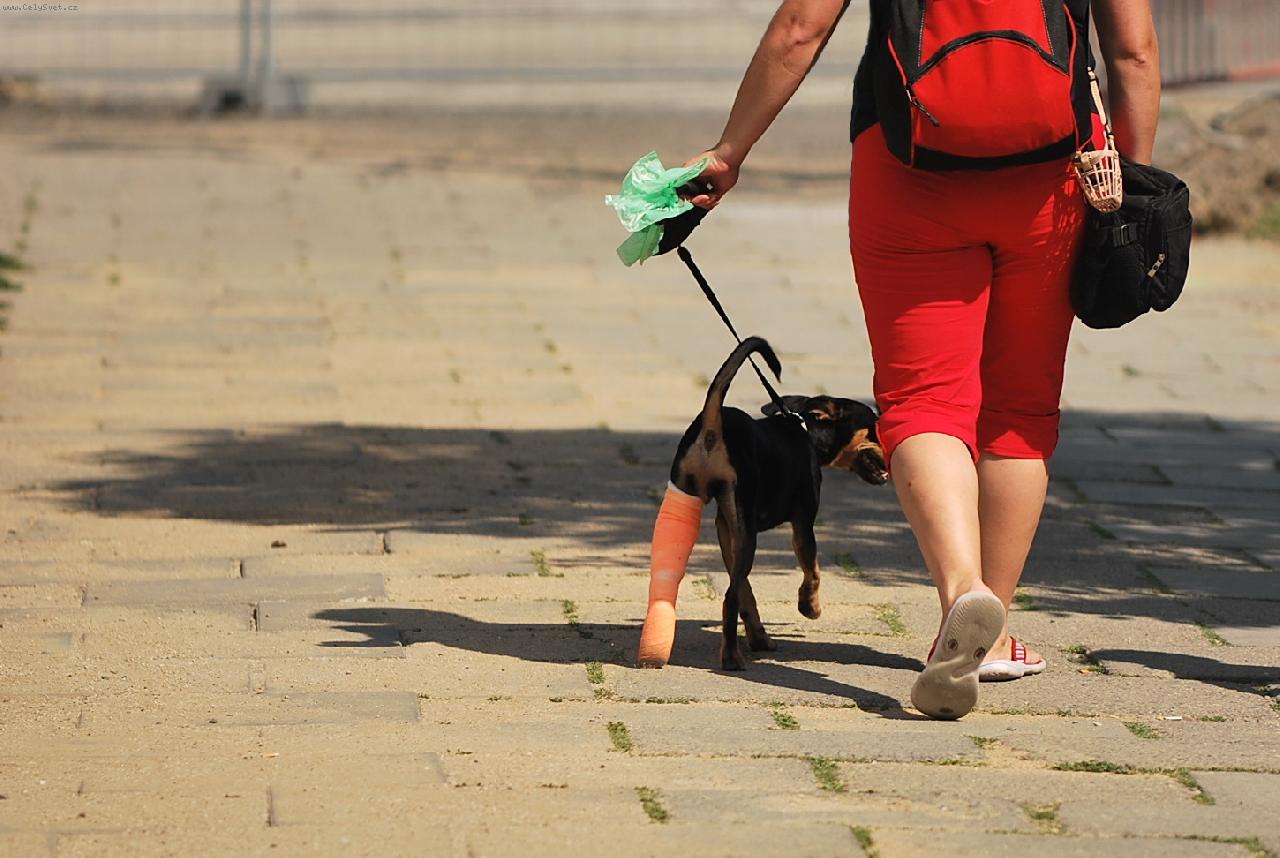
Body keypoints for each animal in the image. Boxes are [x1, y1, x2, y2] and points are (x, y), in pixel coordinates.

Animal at [667, 336, 888, 670]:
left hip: (698, 501)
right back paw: (731, 658)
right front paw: (810, 607)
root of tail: (713, 425)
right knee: (728, 598)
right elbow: (813, 569)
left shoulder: (726, 528)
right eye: (875, 427)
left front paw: (760, 637)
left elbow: (747, 591)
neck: (807, 432)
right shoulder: (803, 524)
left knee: (733, 589)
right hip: (748, 530)